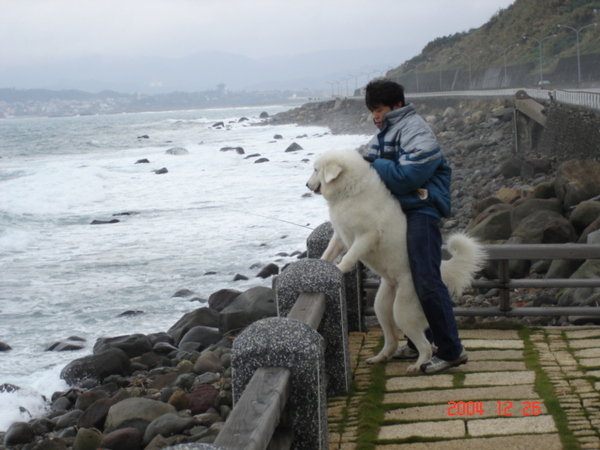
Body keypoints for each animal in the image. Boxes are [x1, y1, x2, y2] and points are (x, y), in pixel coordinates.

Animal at [308, 149, 486, 370]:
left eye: (316, 170)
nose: (307, 185)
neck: (351, 191)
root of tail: (441, 269)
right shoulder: (341, 235)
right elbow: (329, 252)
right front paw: (320, 264)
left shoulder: (366, 236)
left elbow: (350, 255)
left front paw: (340, 269)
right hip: (382, 306)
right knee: (392, 339)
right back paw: (380, 358)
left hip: (402, 312)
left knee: (425, 344)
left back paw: (420, 365)